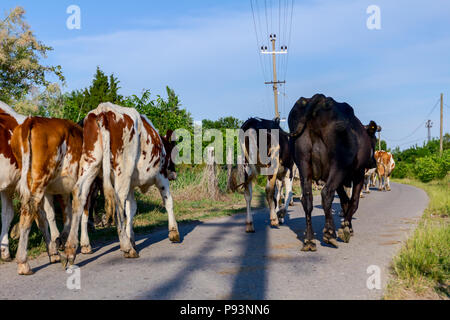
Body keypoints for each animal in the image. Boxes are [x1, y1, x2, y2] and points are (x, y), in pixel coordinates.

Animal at [10, 117, 82, 276]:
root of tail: (32, 120)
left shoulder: (61, 188)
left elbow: (64, 212)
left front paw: (61, 240)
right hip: (40, 178)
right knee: (28, 212)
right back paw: (23, 263)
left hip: (32, 179)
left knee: (34, 212)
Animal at [63, 102, 179, 264]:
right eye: (174, 152)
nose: (174, 173)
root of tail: (103, 109)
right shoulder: (161, 176)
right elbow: (168, 202)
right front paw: (174, 233)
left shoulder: (131, 184)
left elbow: (132, 210)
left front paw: (132, 239)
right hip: (121, 171)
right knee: (118, 201)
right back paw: (126, 247)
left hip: (90, 162)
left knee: (80, 195)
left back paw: (71, 250)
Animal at [286, 94, 378, 251]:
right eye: (375, 140)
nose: (374, 162)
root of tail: (319, 98)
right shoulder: (358, 173)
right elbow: (353, 202)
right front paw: (346, 228)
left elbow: (344, 201)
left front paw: (347, 225)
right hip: (339, 165)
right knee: (326, 192)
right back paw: (329, 234)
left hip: (304, 164)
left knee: (307, 199)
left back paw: (309, 239)